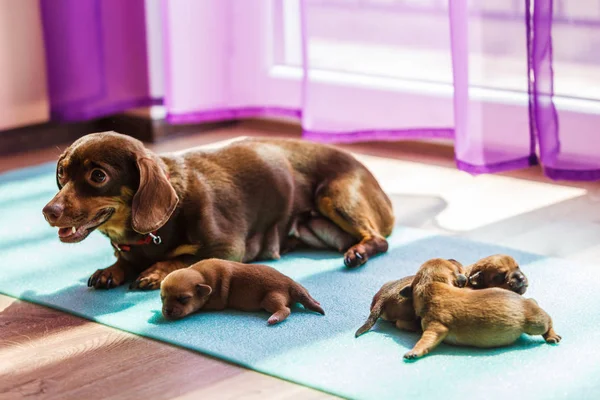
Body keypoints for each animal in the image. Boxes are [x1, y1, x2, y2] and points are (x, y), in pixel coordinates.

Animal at [43, 131, 394, 290]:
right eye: (61, 172)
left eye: (98, 176)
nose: (48, 211)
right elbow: (122, 261)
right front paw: (111, 269)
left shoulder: (229, 248)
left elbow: (185, 258)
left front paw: (155, 271)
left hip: (334, 197)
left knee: (379, 240)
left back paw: (358, 252)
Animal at [159, 258, 324, 324]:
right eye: (162, 298)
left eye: (183, 299)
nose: (167, 311)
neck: (202, 276)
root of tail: (290, 284)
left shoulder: (216, 301)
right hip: (300, 288)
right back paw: (314, 301)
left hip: (270, 298)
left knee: (285, 309)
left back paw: (275, 318)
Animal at [398, 258, 564, 360]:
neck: (431, 285)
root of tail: (528, 302)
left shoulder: (436, 327)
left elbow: (425, 340)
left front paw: (415, 351)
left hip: (536, 323)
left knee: (548, 323)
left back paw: (552, 335)